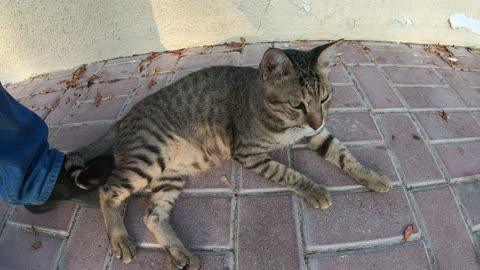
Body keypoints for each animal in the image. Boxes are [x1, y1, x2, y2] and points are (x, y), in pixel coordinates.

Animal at [65, 40, 392, 270]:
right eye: (296, 104)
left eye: (324, 98)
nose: (317, 120)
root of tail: (123, 119)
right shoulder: (249, 153)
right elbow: (289, 173)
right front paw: (315, 190)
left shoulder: (316, 135)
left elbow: (344, 154)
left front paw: (373, 176)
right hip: (150, 155)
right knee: (109, 190)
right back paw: (120, 239)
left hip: (170, 174)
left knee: (152, 216)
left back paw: (181, 254)